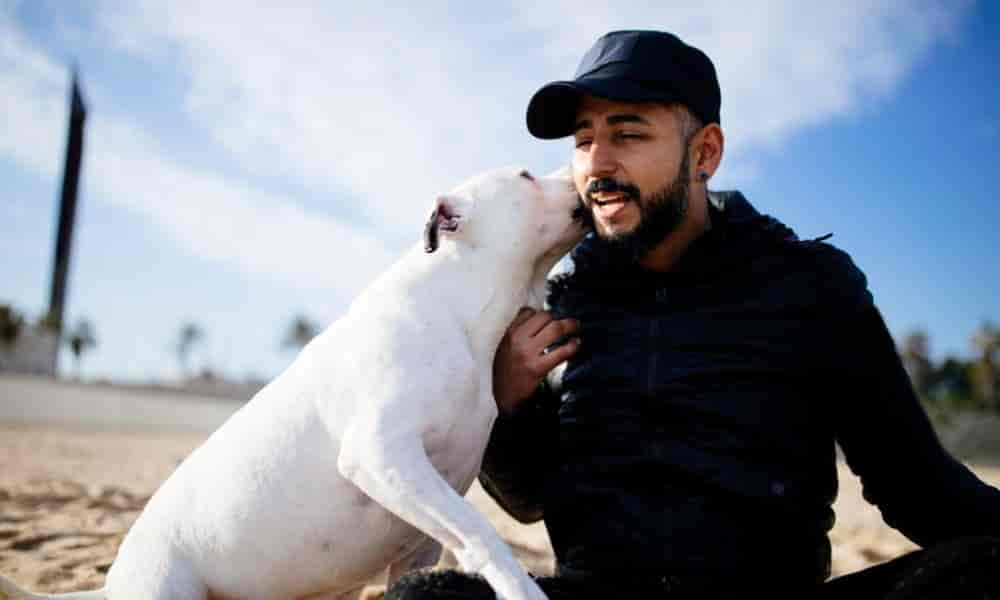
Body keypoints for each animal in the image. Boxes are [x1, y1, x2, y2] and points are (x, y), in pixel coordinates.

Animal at [0, 168, 584, 600]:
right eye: (526, 175)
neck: (459, 310)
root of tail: (113, 580)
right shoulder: (383, 454)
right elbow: (481, 533)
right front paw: (522, 590)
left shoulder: (418, 536)